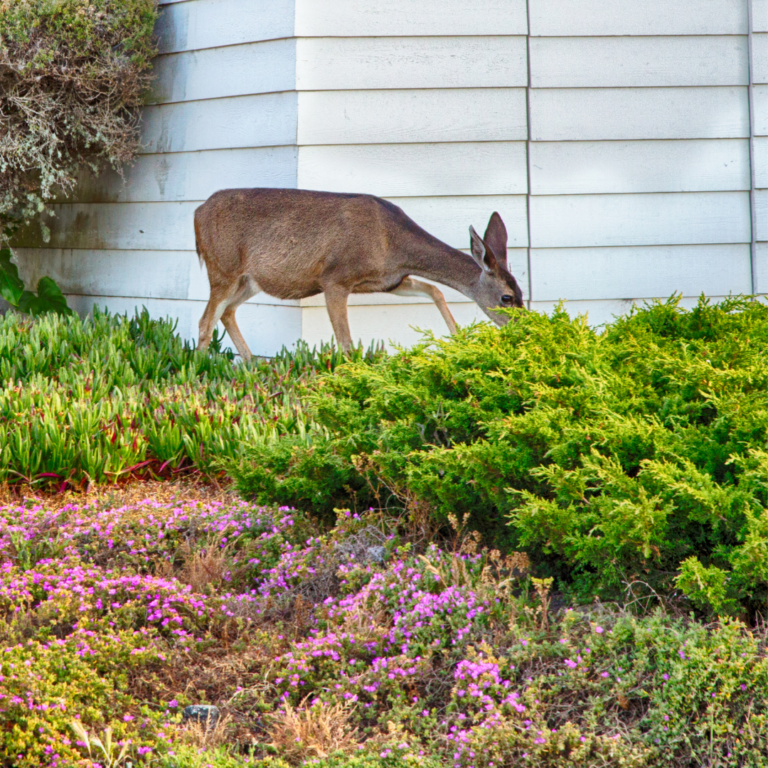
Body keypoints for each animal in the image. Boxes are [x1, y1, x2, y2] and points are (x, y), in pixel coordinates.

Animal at [194, 188, 525, 359]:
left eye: (522, 292)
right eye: (507, 298)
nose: (524, 327)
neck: (392, 243)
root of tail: (197, 213)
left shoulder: (389, 281)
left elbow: (435, 290)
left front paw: (457, 339)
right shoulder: (335, 277)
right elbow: (346, 343)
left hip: (249, 280)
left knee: (227, 312)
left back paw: (252, 364)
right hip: (222, 268)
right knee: (205, 319)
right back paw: (199, 372)